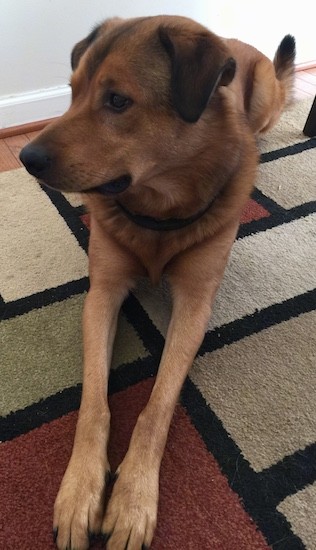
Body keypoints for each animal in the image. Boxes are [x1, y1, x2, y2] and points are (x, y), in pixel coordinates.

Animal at [20, 15, 296, 548]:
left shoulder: (195, 303)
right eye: (72, 92)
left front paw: (132, 502)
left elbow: (158, 405)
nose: (24, 157)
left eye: (117, 101)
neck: (156, 214)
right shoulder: (103, 292)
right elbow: (93, 402)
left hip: (265, 102)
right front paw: (80, 492)